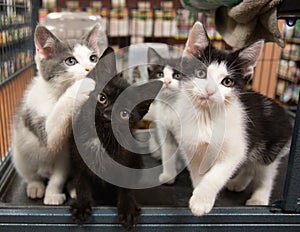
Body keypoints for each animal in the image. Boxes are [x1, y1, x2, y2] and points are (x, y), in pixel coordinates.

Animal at [11, 23, 105, 205]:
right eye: (70, 61)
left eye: (93, 58)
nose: (91, 68)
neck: (55, 94)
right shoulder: (37, 116)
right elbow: (52, 130)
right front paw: (82, 86)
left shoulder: (65, 154)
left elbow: (59, 176)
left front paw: (53, 194)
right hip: (20, 154)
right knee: (29, 173)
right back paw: (35, 186)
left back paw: (73, 187)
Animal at [69, 47, 163, 230]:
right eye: (102, 98)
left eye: (124, 113)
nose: (106, 116)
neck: (101, 138)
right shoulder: (78, 161)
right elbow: (82, 182)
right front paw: (82, 205)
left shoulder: (127, 161)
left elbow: (126, 187)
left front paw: (128, 209)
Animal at [146, 48, 185, 184]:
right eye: (160, 75)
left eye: (177, 75)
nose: (167, 81)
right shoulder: (164, 129)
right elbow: (168, 152)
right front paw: (169, 176)